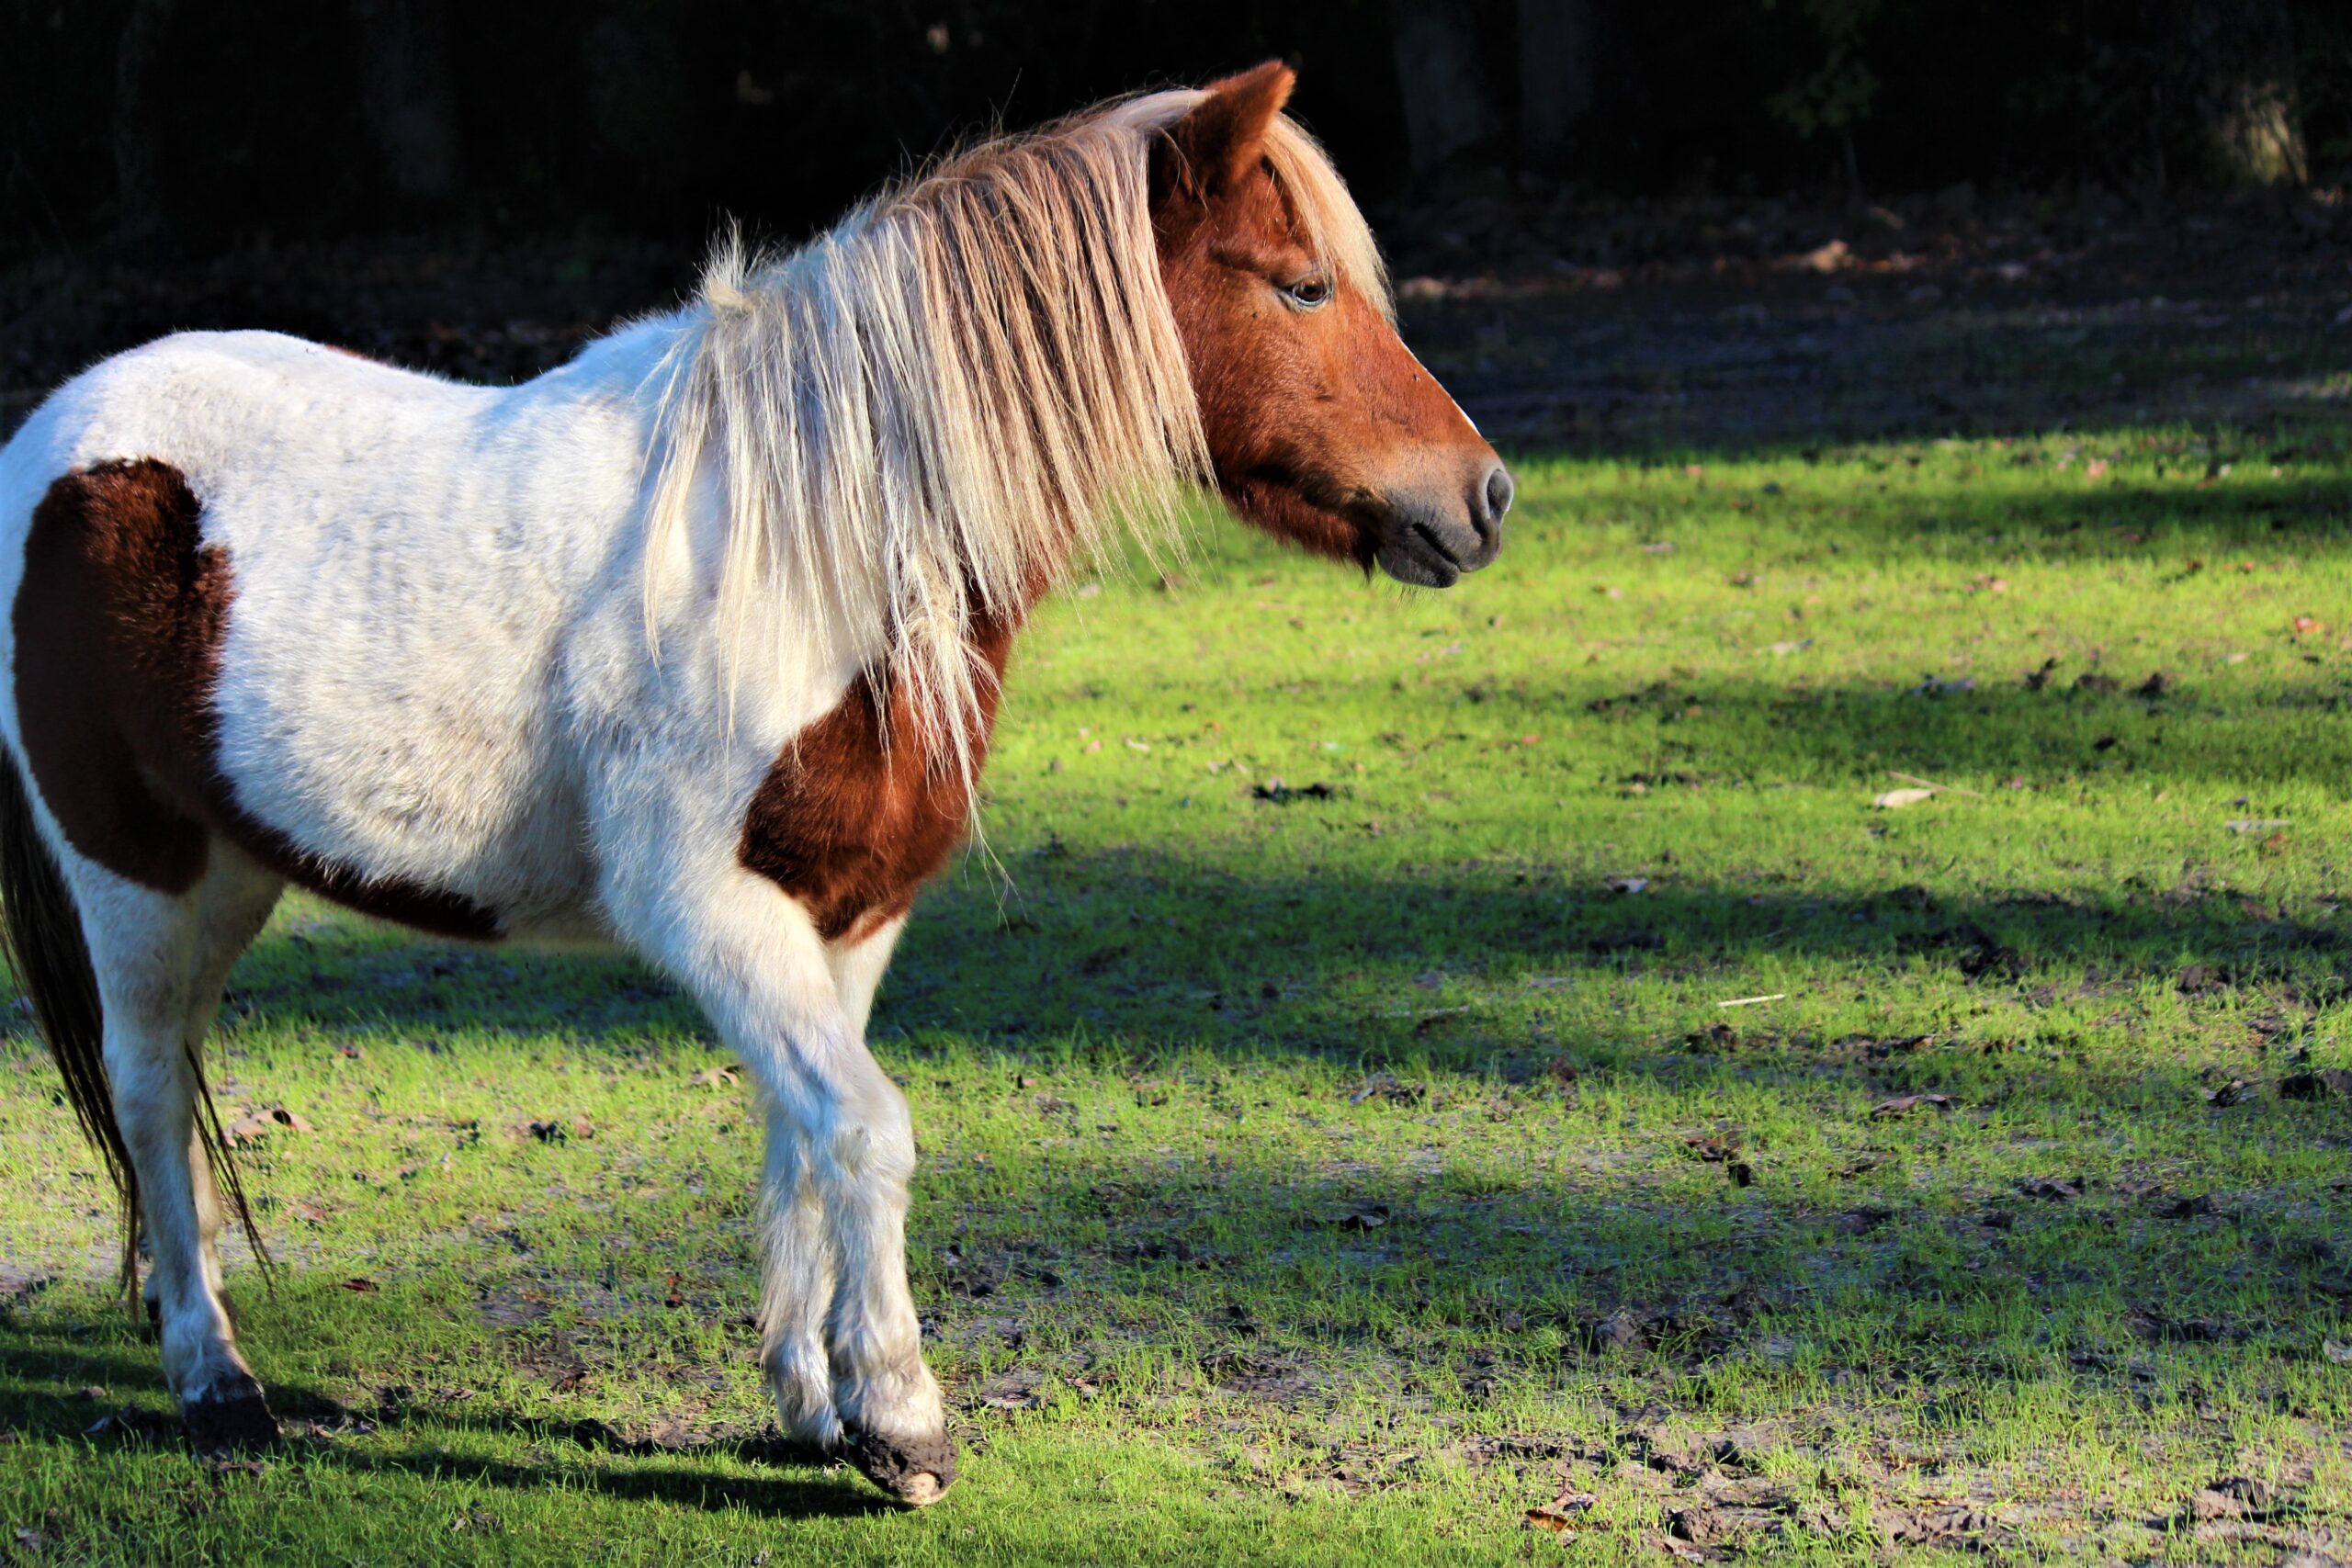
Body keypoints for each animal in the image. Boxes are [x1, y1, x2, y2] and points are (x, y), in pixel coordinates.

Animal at [0, 62, 1507, 1504]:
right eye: (1300, 283)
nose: (1484, 496)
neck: (812, 549)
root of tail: (53, 440)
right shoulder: (708, 909)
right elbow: (868, 1129)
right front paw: (901, 1420)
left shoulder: (846, 913)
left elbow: (804, 1137)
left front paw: (811, 1401)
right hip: (133, 879)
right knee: (146, 1092)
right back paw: (214, 1380)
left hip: (231, 872)